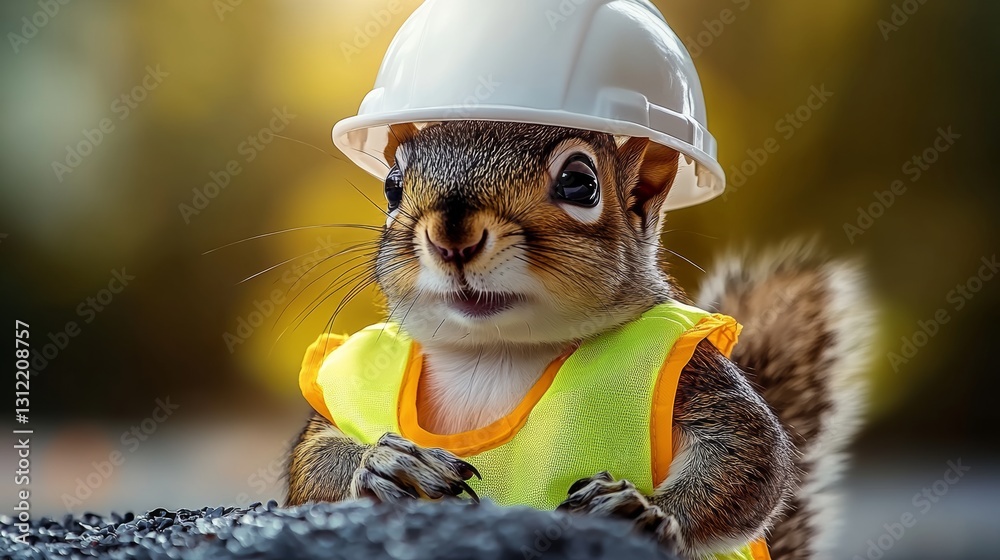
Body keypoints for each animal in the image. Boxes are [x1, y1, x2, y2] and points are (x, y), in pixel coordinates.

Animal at [284, 120, 873, 560]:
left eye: (579, 184)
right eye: (392, 186)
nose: (452, 237)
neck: (494, 350)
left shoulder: (695, 372)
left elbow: (750, 452)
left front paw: (645, 513)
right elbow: (310, 467)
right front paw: (388, 466)